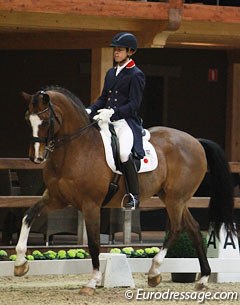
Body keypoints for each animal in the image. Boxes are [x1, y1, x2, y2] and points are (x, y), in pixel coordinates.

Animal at [14, 85, 234, 292]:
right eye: (27, 119)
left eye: (45, 121)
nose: (36, 157)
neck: (75, 149)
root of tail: (196, 141)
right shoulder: (56, 198)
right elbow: (28, 216)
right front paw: (20, 264)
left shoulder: (91, 205)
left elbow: (93, 242)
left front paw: (93, 281)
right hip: (174, 198)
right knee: (194, 228)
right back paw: (202, 279)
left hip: (175, 198)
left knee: (176, 228)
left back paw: (154, 271)